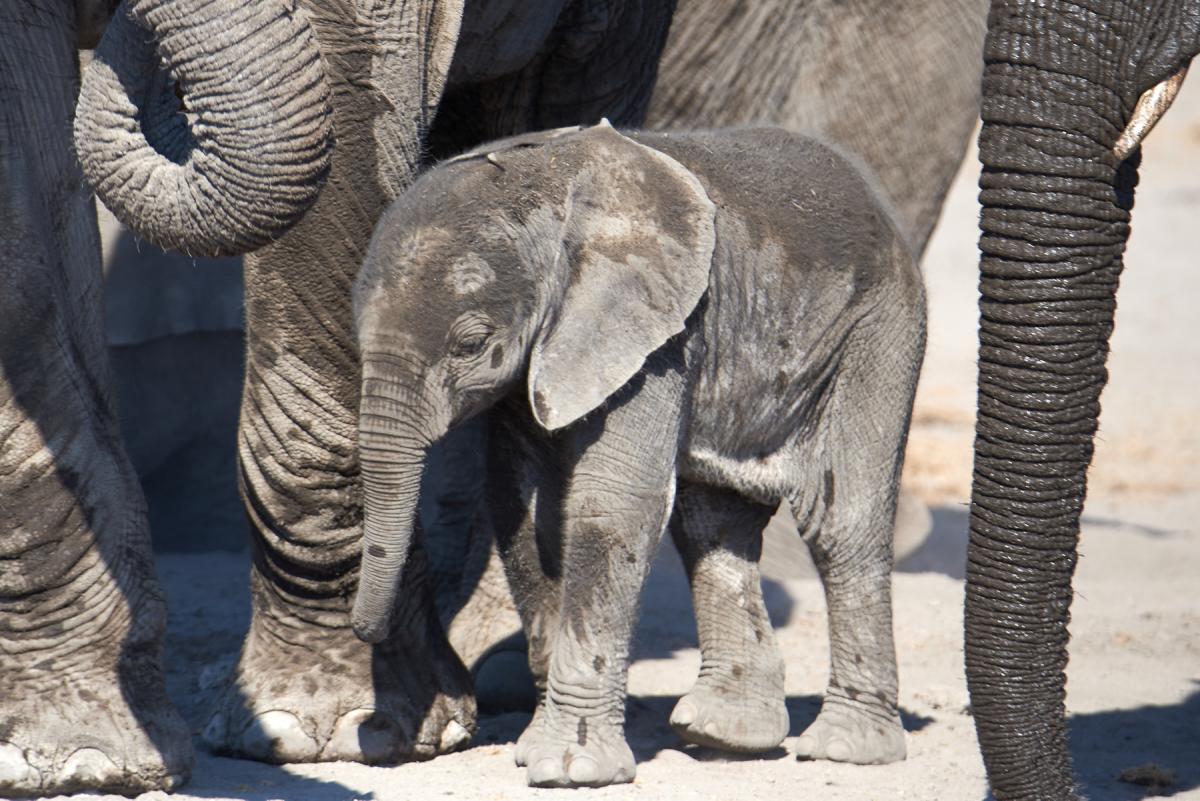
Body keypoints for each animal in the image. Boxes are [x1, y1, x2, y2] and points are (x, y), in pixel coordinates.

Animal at [350, 122, 921, 786]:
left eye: (471, 343)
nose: (365, 631)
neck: (545, 183)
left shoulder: (652, 336)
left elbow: (612, 503)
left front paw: (568, 768)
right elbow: (524, 510)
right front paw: (535, 747)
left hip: (878, 328)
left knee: (841, 523)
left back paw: (846, 748)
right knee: (713, 523)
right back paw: (724, 733)